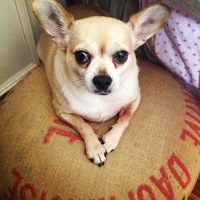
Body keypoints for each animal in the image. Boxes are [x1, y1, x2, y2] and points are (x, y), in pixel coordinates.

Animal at [31, 0, 170, 166]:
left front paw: (111, 139)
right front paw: (95, 148)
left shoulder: (135, 99)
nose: (102, 80)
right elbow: (83, 125)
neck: (101, 99)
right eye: (81, 56)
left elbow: (125, 118)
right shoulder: (62, 111)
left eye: (121, 55)